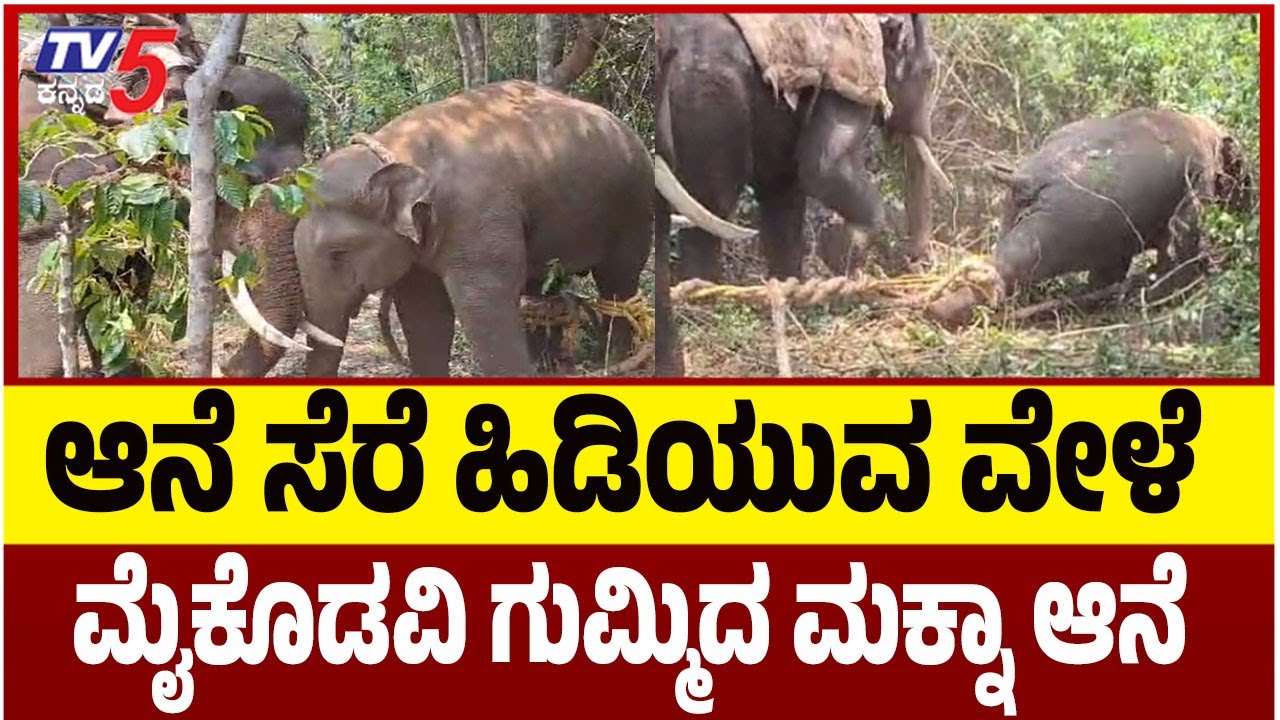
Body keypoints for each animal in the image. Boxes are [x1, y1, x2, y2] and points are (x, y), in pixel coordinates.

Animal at [221, 79, 653, 379]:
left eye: (338, 254)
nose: (224, 368)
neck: (395, 151)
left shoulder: (478, 215)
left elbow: (483, 305)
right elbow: (423, 313)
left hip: (634, 199)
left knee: (619, 279)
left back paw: (612, 361)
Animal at [652, 13, 948, 289]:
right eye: (929, 71)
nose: (915, 262)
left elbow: (783, 191)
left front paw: (790, 285)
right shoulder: (852, 71)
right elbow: (823, 168)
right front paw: (840, 252)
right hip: (712, 98)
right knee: (711, 204)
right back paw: (702, 291)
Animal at [927, 107, 1254, 326]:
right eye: (1245, 174)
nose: (1250, 208)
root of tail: (1025, 178)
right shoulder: (1202, 170)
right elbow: (1185, 228)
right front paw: (1192, 281)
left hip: (1020, 215)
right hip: (1069, 222)